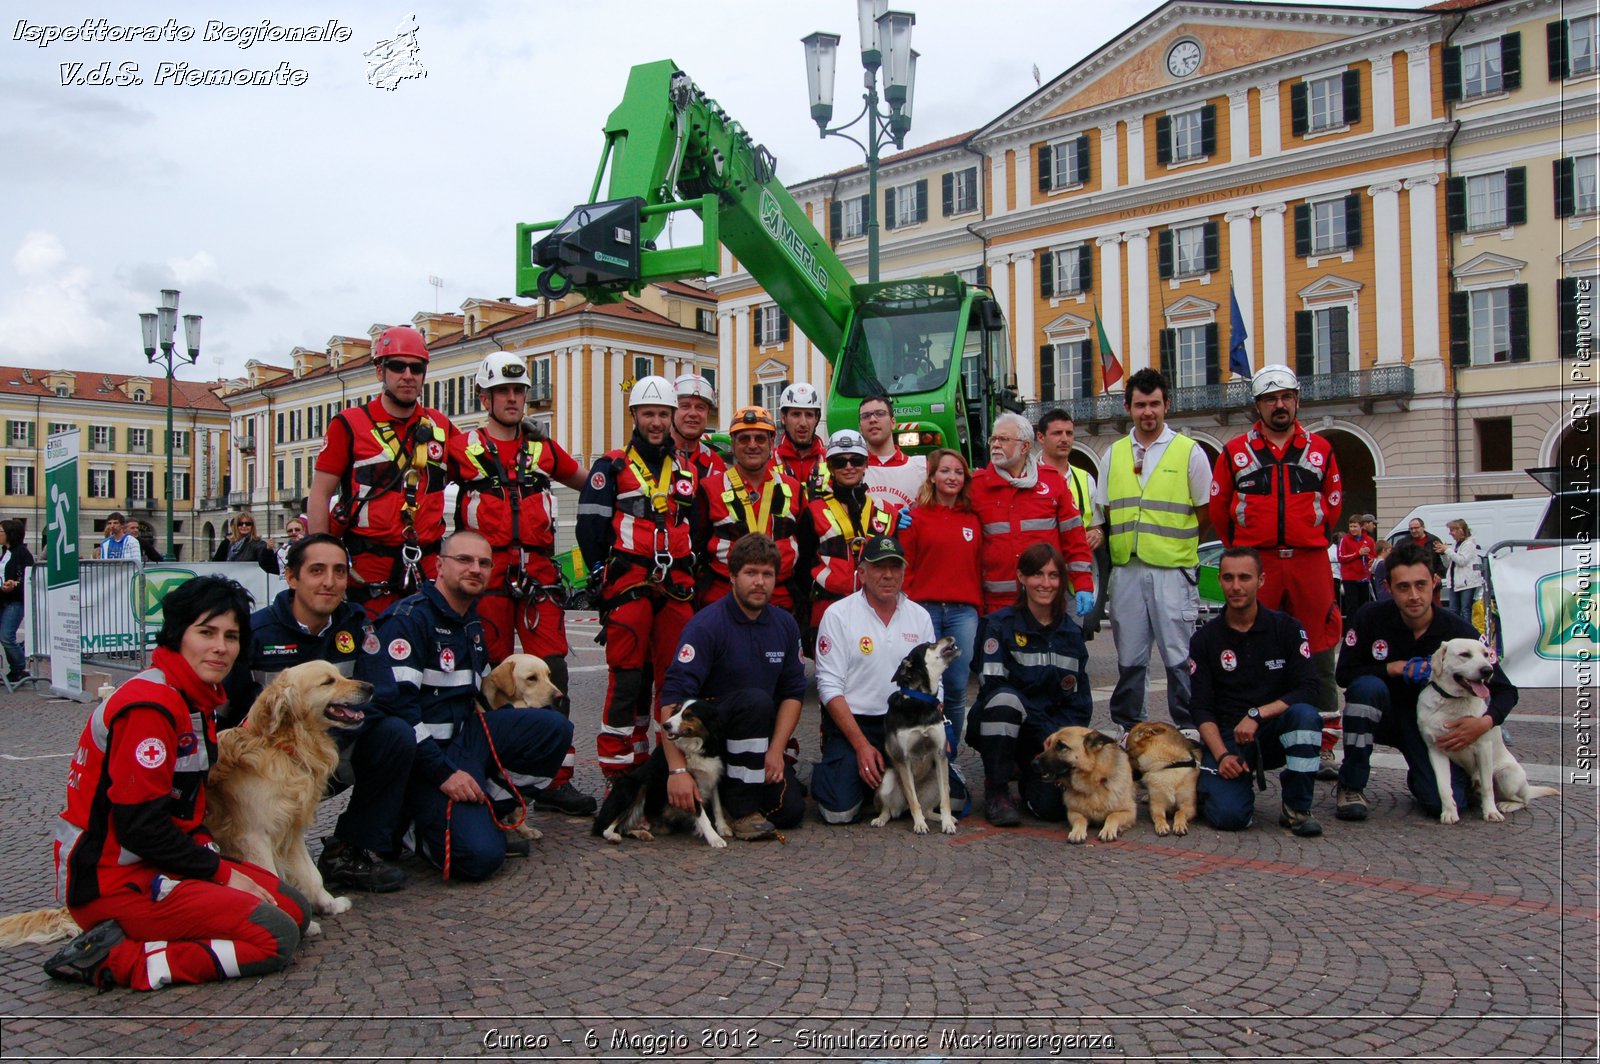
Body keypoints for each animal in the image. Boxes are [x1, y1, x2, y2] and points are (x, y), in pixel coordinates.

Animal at [595, 697, 732, 844]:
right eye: (676, 711)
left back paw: (642, 833)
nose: (666, 725)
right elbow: (702, 814)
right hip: (632, 786)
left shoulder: (713, 775)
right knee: (606, 827)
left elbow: (717, 805)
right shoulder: (690, 783)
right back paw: (614, 836)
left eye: (688, 715)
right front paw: (714, 838)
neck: (696, 746)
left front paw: (723, 827)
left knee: (624, 827)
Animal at [870, 633, 953, 832]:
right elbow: (913, 799)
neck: (921, 700)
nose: (950, 637)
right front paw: (920, 825)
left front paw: (947, 823)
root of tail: (902, 807)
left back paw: (942, 818)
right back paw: (881, 819)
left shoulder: (940, 755)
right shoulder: (904, 758)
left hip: (939, 781)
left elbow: (945, 802)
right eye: (930, 645)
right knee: (890, 809)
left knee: (929, 807)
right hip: (886, 782)